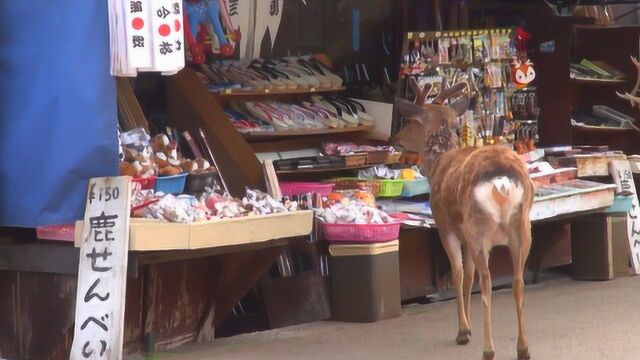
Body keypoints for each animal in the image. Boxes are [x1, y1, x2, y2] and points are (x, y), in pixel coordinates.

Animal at [396, 79, 536, 360]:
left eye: (409, 122)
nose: (396, 139)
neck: (438, 163)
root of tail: (502, 182)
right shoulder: (464, 236)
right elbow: (468, 276)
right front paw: (468, 325)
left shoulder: (445, 227)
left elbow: (459, 274)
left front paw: (463, 331)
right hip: (522, 228)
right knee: (517, 281)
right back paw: (523, 348)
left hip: (478, 227)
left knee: (487, 282)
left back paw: (488, 349)